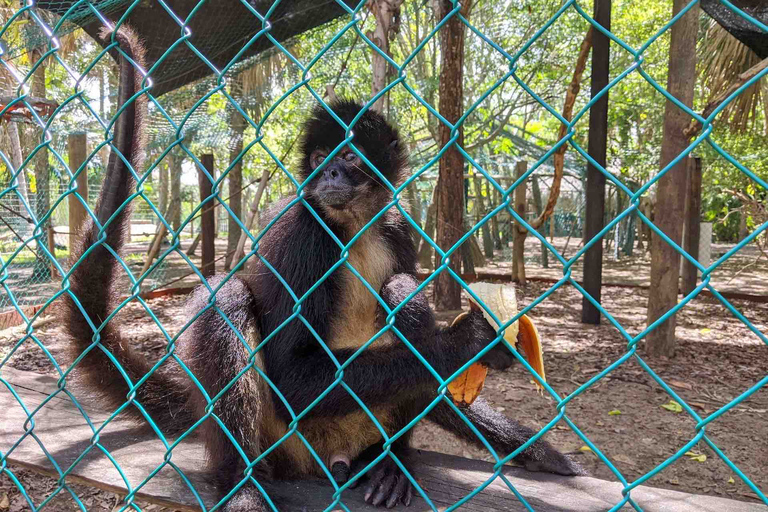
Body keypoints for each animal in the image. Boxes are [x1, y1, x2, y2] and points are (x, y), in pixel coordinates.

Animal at [64, 26, 584, 512]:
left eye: (348, 156)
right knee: (228, 297)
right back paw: (242, 485)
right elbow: (292, 377)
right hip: (284, 439)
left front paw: (527, 443)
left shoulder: (398, 226)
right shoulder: (305, 228)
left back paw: (389, 462)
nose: (329, 171)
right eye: (319, 159)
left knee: (402, 296)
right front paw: (469, 342)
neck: (352, 227)